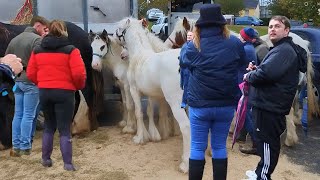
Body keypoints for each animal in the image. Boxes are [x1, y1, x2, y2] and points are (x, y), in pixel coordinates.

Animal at [115, 17, 190, 173]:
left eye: (119, 29)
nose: (122, 55)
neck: (139, 56)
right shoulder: (151, 94)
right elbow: (149, 111)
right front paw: (153, 135)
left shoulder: (134, 90)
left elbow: (138, 112)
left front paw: (139, 138)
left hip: (177, 104)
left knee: (186, 127)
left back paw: (185, 164)